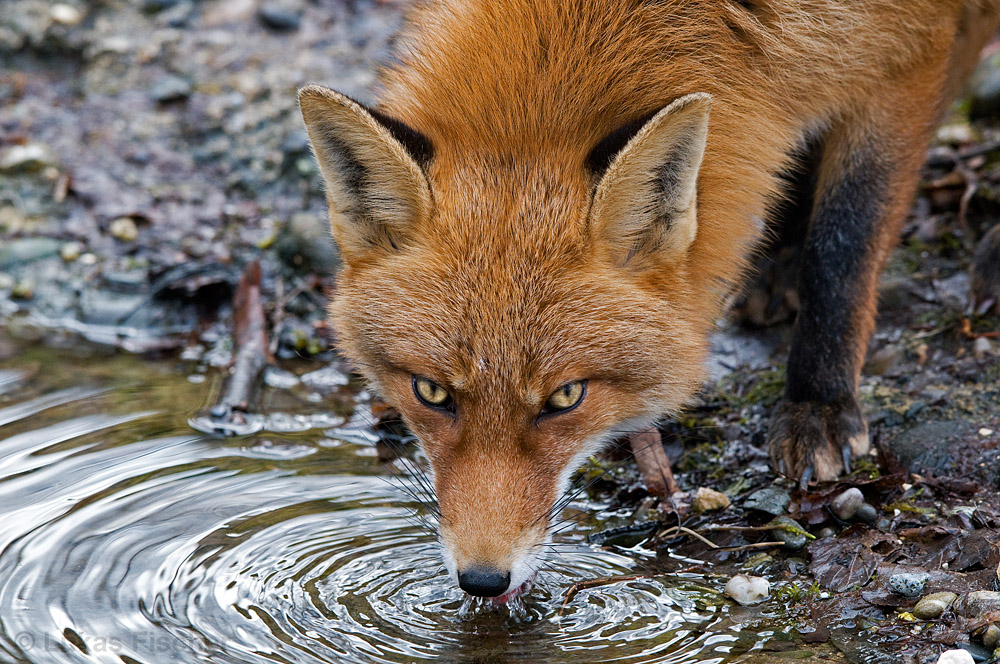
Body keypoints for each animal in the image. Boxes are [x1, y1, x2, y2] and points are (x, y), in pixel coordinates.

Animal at [300, 0, 1000, 600]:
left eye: (566, 398)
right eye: (431, 393)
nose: (483, 582)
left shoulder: (907, 54)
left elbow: (844, 242)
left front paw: (819, 403)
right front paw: (783, 255)